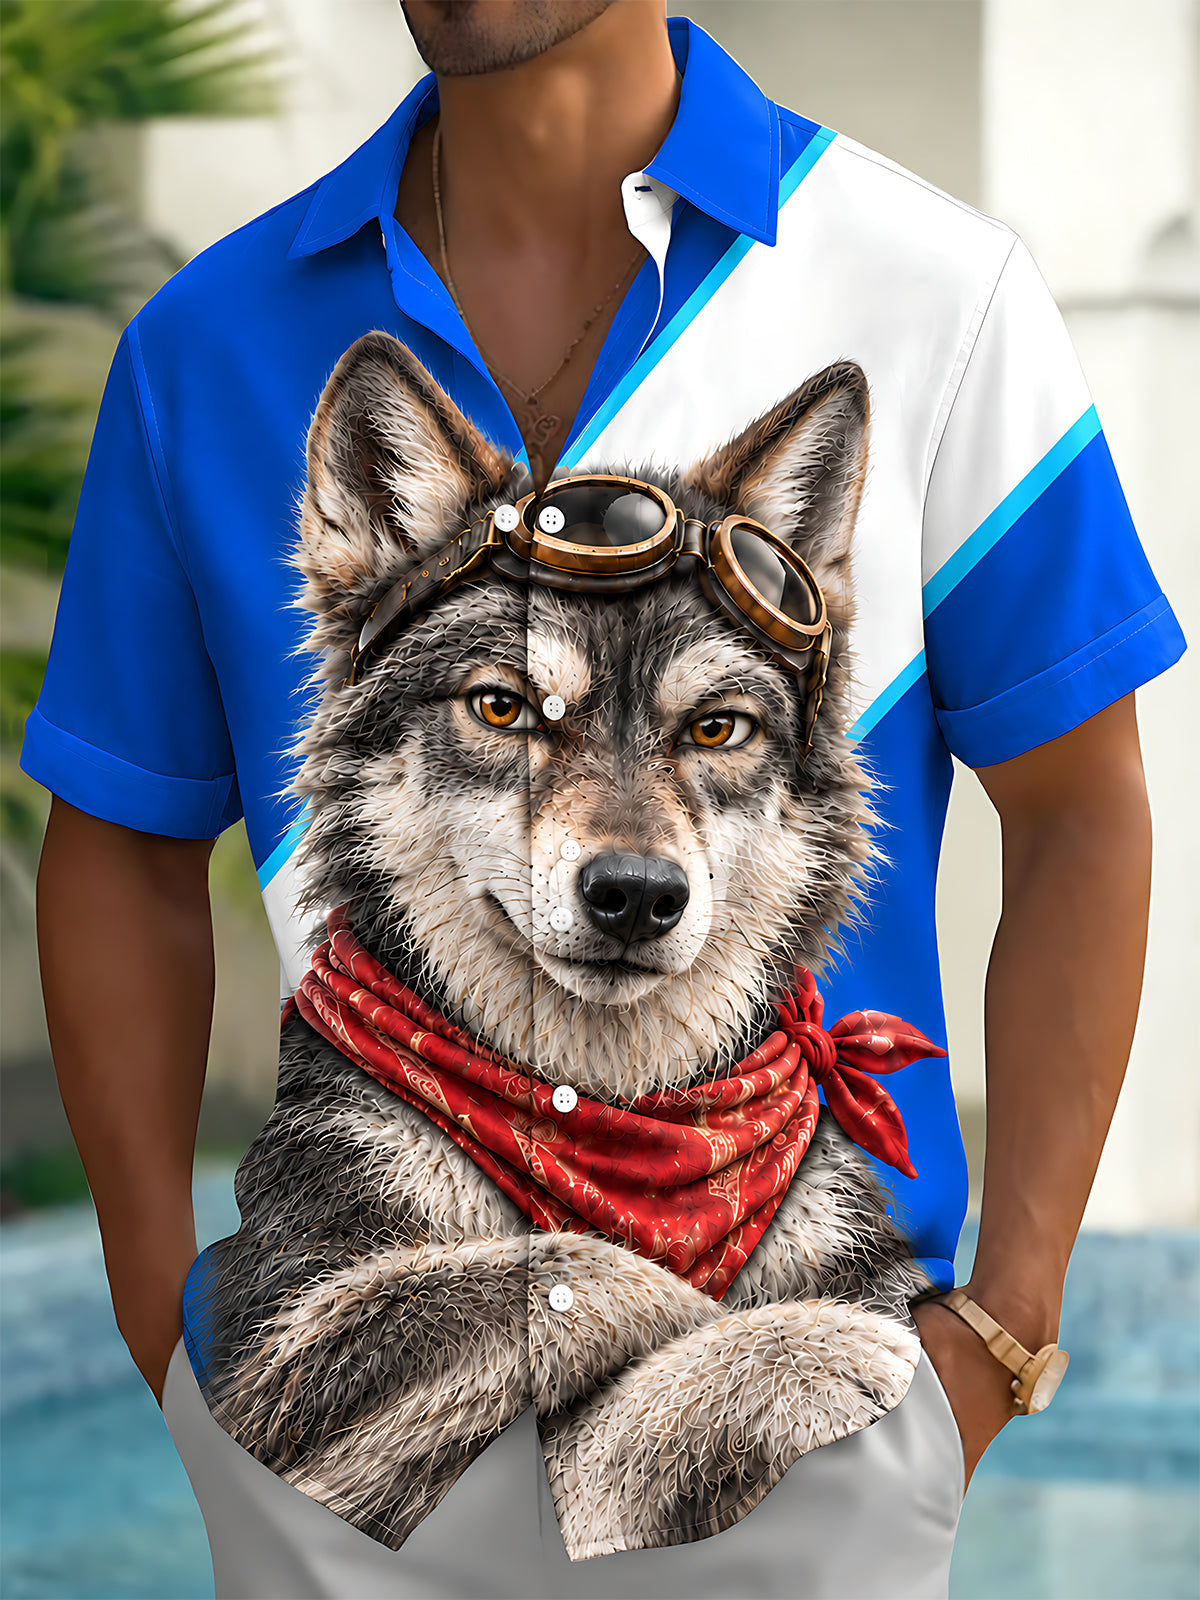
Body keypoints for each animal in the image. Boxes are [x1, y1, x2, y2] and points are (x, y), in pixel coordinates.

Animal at [194, 331, 932, 1558]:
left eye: (716, 729)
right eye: (502, 708)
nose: (635, 896)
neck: (613, 1118)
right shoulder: (277, 1366)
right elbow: (577, 1287)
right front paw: (809, 1341)